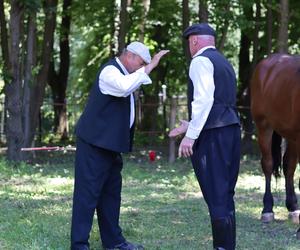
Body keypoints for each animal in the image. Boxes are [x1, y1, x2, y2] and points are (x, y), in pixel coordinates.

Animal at [251, 53, 300, 235]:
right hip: (263, 126)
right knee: (268, 164)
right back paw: (267, 210)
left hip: (292, 136)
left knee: (289, 166)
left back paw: (293, 208)